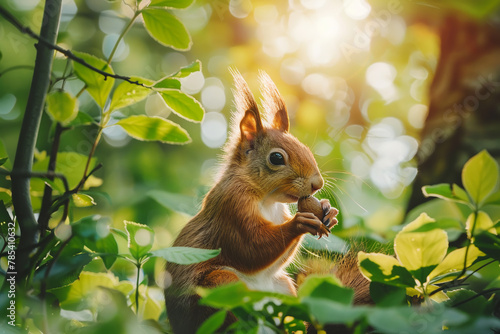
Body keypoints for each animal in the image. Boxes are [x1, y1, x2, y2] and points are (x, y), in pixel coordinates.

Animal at [164, 70, 340, 332]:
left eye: (305, 147)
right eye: (276, 158)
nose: (317, 184)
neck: (266, 199)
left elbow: (275, 261)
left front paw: (329, 210)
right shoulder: (232, 206)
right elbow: (251, 248)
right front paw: (300, 223)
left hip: (284, 289)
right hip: (220, 286)